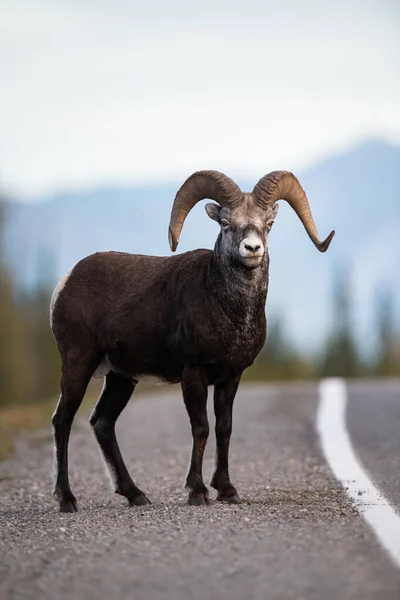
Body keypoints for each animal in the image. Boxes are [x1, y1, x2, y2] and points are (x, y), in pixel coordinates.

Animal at [50, 169, 334, 510]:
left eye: (269, 224)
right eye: (225, 223)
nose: (252, 249)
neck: (227, 308)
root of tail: (66, 282)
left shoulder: (231, 377)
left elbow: (224, 428)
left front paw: (227, 491)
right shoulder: (193, 374)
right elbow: (201, 428)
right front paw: (197, 492)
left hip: (121, 377)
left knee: (102, 422)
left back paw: (136, 495)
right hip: (78, 363)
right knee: (63, 420)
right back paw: (67, 500)